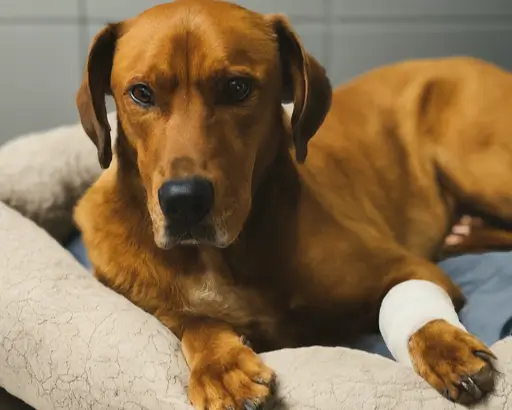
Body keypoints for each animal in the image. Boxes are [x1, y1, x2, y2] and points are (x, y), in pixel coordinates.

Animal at [73, 1, 512, 408]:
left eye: (237, 88)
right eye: (141, 93)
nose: (184, 202)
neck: (219, 258)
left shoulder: (411, 270)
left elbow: (410, 309)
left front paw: (445, 346)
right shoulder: (155, 306)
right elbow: (196, 322)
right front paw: (221, 368)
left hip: (478, 167)